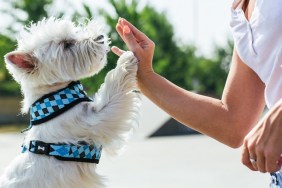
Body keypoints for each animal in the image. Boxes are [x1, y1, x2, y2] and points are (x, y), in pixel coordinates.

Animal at [0, 16, 141, 187]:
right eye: (66, 45)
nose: (100, 37)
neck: (55, 98)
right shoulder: (94, 120)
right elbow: (113, 90)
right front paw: (126, 59)